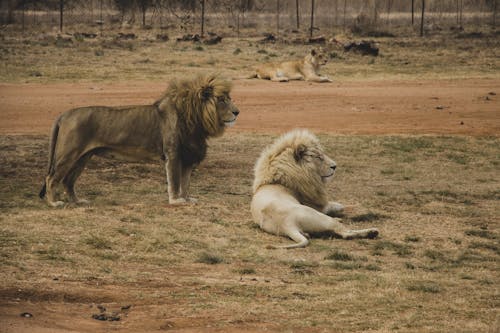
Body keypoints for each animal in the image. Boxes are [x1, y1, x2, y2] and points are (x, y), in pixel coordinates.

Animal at [38, 74, 240, 206]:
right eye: (221, 100)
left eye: (229, 98)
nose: (237, 112)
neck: (195, 120)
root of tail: (64, 114)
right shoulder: (173, 153)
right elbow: (175, 181)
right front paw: (176, 201)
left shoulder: (187, 156)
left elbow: (185, 182)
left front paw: (187, 198)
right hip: (68, 154)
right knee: (51, 178)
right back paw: (54, 203)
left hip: (82, 158)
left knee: (68, 181)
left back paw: (78, 201)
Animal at [250, 128, 378, 248]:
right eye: (319, 157)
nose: (334, 166)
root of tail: (286, 224)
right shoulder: (318, 206)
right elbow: (342, 206)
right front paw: (364, 210)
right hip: (318, 216)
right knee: (344, 232)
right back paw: (371, 232)